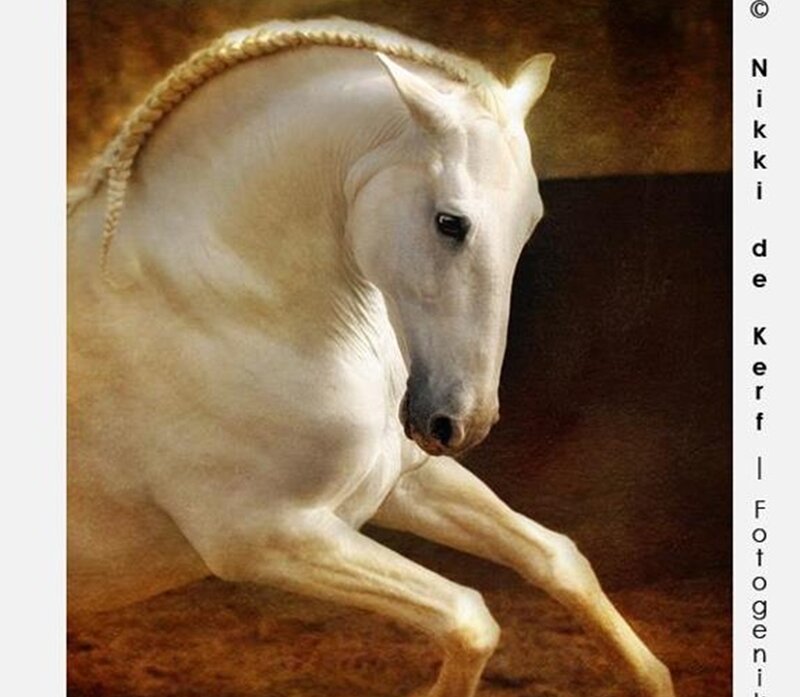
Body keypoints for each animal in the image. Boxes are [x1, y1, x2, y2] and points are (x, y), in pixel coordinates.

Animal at [68, 18, 674, 697]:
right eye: (450, 222)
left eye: (531, 220)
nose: (462, 423)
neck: (223, 304)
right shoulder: (266, 538)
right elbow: (469, 619)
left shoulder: (404, 484)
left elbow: (557, 557)